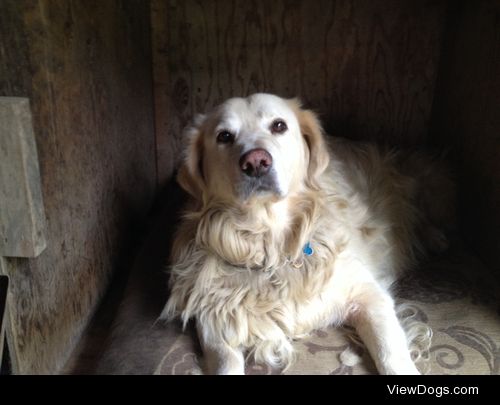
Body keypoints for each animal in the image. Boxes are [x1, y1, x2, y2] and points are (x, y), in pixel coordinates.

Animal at [160, 93, 454, 374]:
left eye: (279, 125)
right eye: (224, 136)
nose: (256, 162)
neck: (271, 245)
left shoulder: (368, 294)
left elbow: (390, 354)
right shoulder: (215, 319)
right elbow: (225, 363)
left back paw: (436, 238)